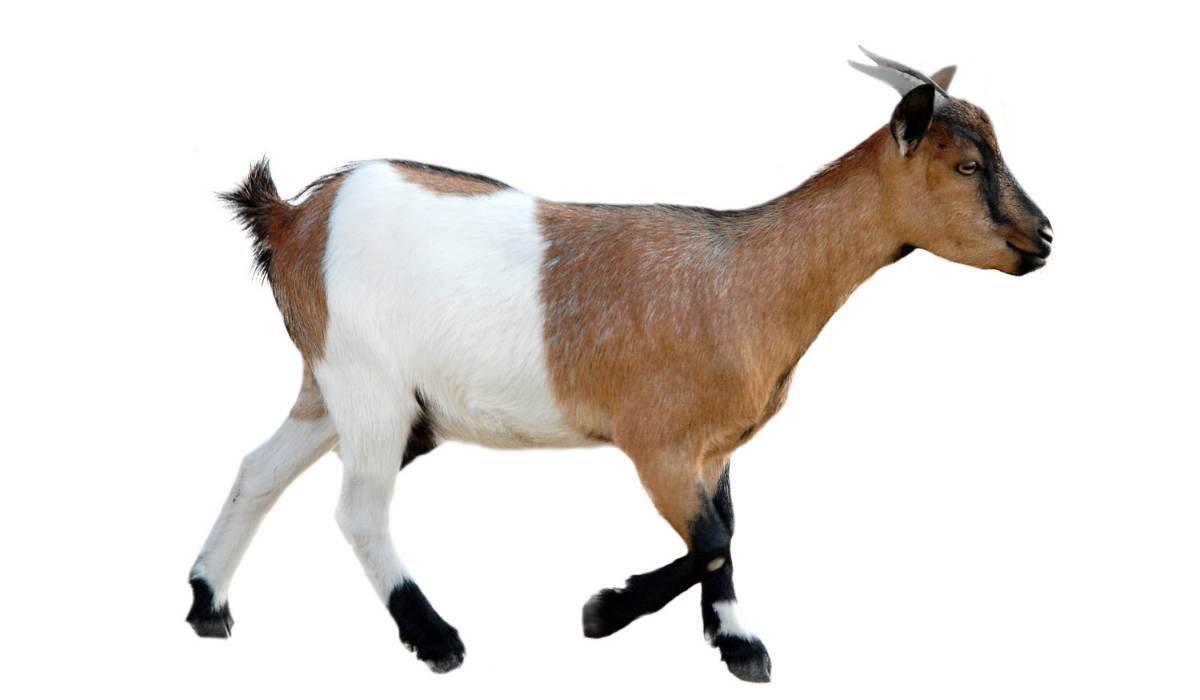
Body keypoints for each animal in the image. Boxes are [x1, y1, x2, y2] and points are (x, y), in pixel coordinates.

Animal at [187, 48, 1052, 683]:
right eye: (966, 167)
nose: (1043, 237)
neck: (744, 277)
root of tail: (294, 217)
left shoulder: (714, 448)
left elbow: (727, 532)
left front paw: (736, 641)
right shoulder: (657, 444)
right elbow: (712, 539)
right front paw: (605, 611)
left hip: (328, 381)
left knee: (259, 470)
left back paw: (208, 606)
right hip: (370, 384)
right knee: (359, 509)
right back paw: (436, 639)